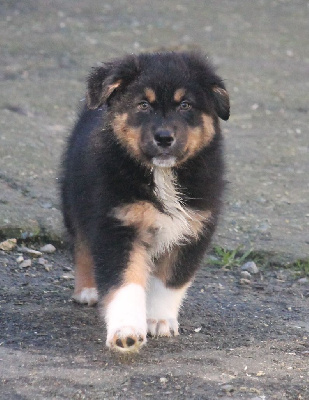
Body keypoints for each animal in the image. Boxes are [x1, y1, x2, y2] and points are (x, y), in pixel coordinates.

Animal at [60, 50, 229, 354]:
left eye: (185, 105)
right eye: (143, 105)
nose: (164, 137)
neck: (162, 176)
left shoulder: (194, 229)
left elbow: (170, 281)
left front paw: (159, 320)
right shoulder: (118, 225)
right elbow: (125, 283)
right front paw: (126, 332)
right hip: (74, 198)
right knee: (81, 244)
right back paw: (87, 289)